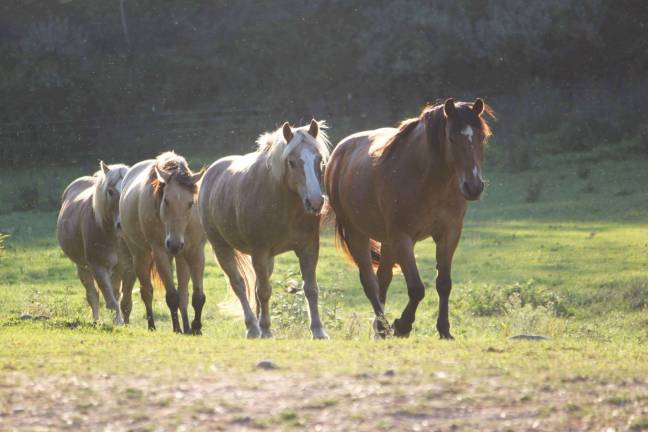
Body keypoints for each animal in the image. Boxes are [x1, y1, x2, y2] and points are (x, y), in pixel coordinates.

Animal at [57, 162, 135, 324]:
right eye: (110, 191)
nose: (122, 225)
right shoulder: (98, 267)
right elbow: (110, 302)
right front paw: (118, 323)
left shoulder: (130, 268)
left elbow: (125, 303)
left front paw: (126, 324)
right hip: (82, 266)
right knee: (92, 295)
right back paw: (96, 321)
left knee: (115, 293)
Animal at [118, 152, 205, 334]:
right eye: (166, 201)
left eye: (190, 203)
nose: (174, 244)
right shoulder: (159, 252)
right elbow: (171, 296)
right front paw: (177, 329)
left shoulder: (195, 251)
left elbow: (198, 296)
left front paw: (196, 328)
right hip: (140, 255)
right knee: (147, 292)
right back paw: (152, 325)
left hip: (180, 257)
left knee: (183, 293)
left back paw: (187, 326)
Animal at [200, 120, 332, 340]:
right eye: (292, 162)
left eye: (319, 159)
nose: (315, 202)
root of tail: (212, 172)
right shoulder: (259, 251)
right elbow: (264, 292)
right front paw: (267, 330)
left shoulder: (308, 248)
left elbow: (311, 289)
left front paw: (318, 330)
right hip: (221, 248)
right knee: (240, 286)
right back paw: (253, 328)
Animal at [326, 99, 494, 340]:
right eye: (451, 137)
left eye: (482, 136)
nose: (473, 187)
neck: (428, 180)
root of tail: (339, 153)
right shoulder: (403, 238)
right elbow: (416, 289)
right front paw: (402, 325)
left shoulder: (449, 233)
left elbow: (444, 284)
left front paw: (444, 330)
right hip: (357, 234)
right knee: (370, 283)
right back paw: (384, 326)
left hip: (386, 241)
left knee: (383, 279)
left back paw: (380, 329)